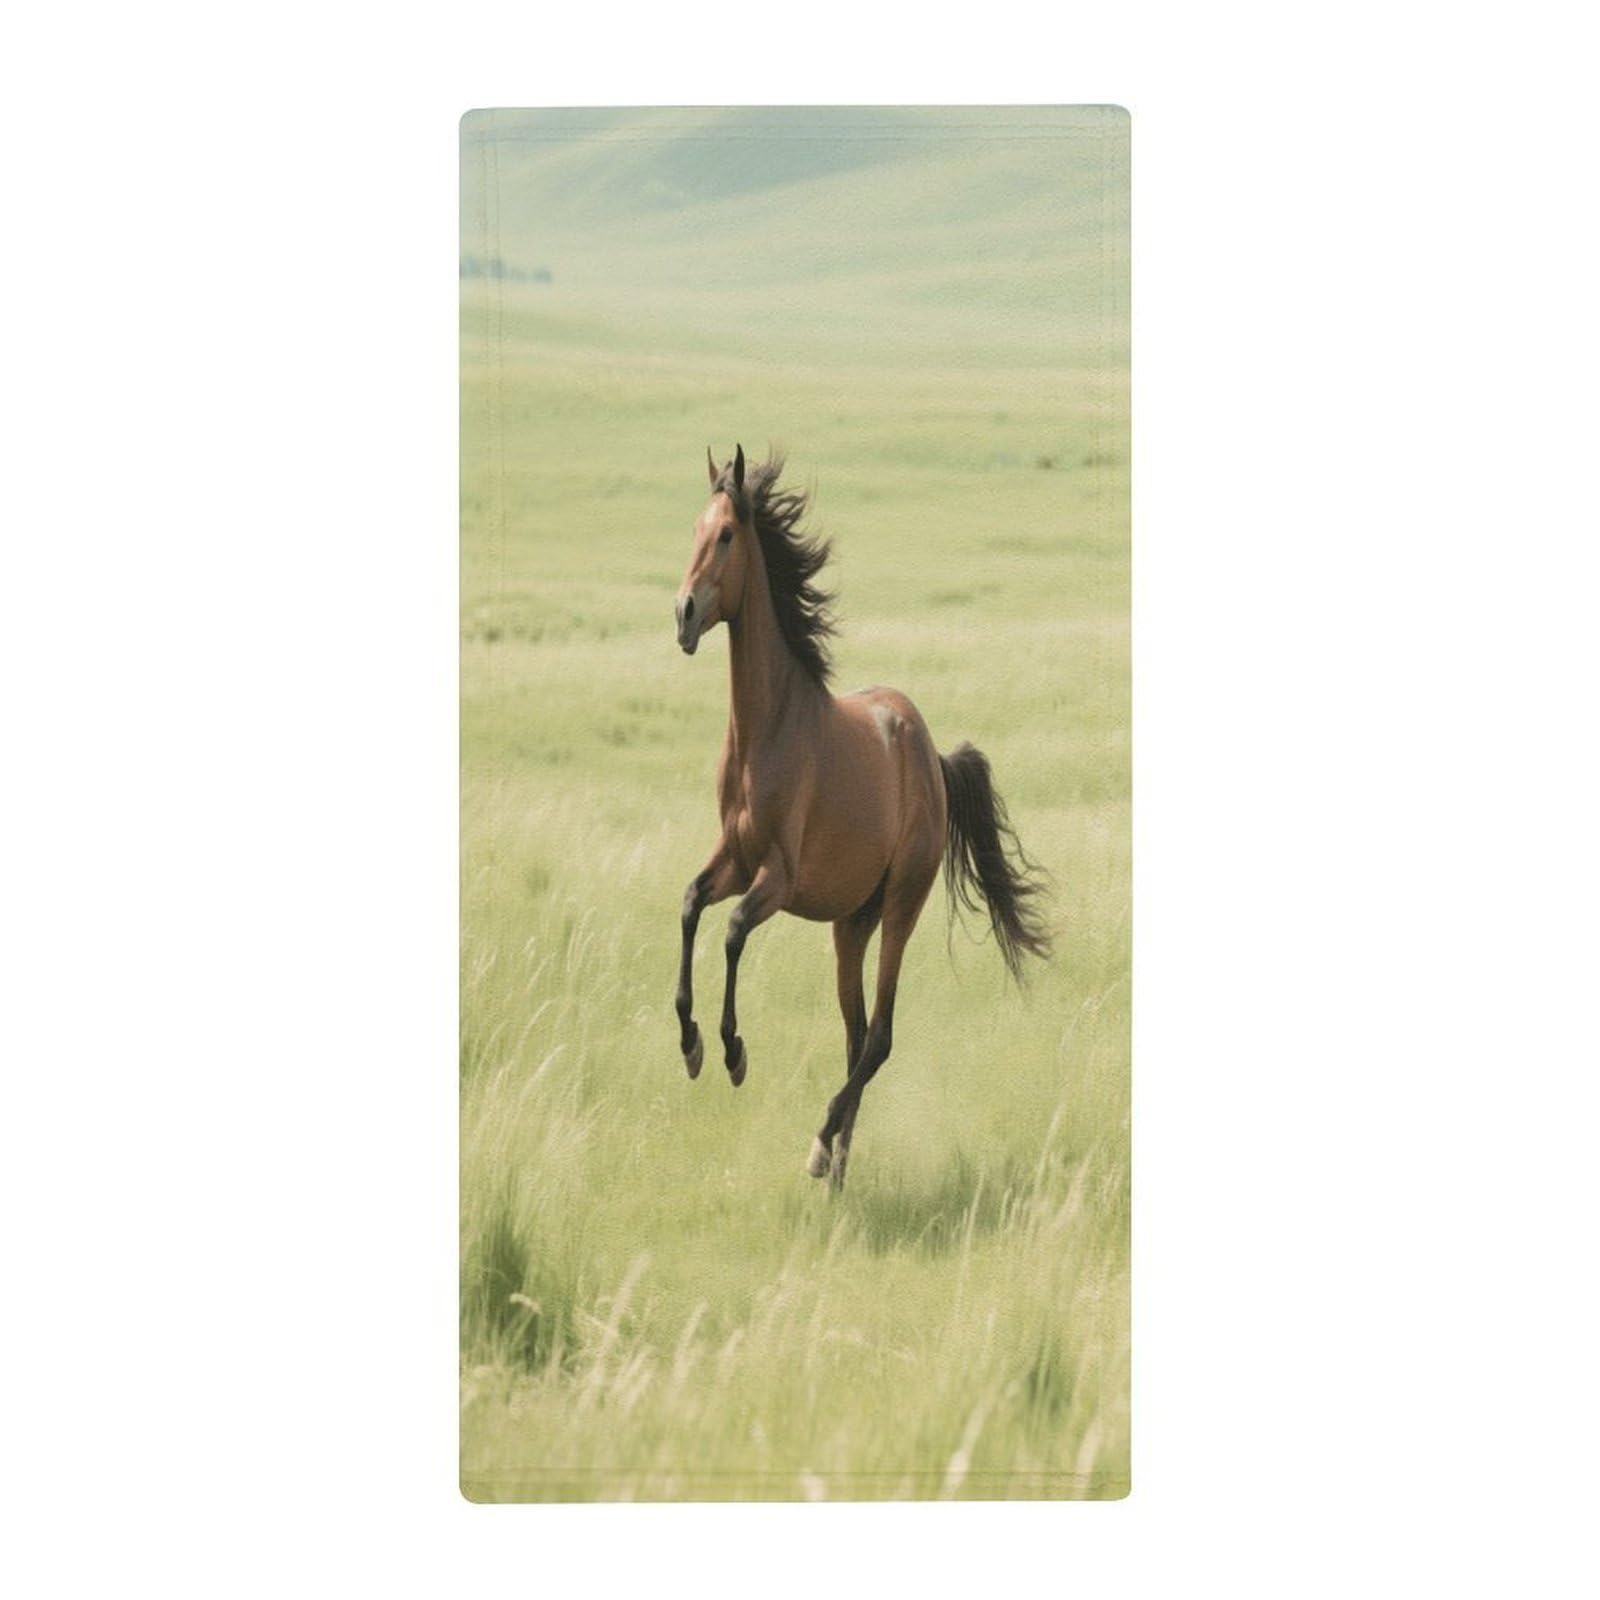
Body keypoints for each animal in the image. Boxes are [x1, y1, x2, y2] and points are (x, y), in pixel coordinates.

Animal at [672, 445, 1052, 1188]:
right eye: (694, 528)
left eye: (726, 535)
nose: (684, 614)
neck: (770, 729)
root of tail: (931, 757)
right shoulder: (732, 859)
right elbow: (691, 905)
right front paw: (691, 1042)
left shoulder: (777, 878)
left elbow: (731, 931)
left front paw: (731, 1051)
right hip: (852, 922)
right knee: (855, 1037)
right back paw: (840, 1164)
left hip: (902, 902)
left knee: (878, 1037)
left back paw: (822, 1147)